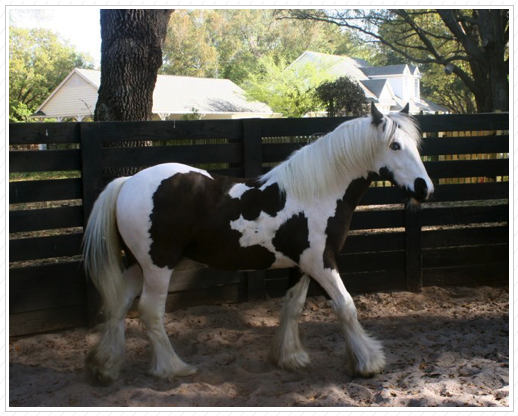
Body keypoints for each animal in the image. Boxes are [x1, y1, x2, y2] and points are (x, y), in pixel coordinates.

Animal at [84, 102, 434, 386]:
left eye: (416, 144)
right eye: (395, 145)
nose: (424, 188)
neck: (317, 192)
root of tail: (128, 182)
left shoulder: (303, 265)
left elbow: (293, 307)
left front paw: (289, 357)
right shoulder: (322, 262)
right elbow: (346, 306)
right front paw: (368, 362)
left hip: (138, 265)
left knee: (118, 305)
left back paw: (106, 367)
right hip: (159, 265)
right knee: (151, 312)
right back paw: (173, 368)